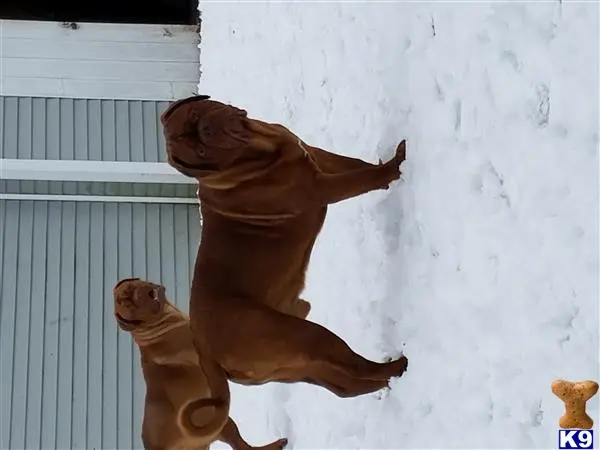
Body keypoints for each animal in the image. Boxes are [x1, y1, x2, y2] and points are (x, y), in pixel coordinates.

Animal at [159, 95, 408, 398]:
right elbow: (362, 179)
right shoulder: (320, 187)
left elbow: (355, 164)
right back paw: (397, 365)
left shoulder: (318, 156)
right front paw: (396, 165)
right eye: (200, 150)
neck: (257, 147)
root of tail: (204, 352)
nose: (205, 130)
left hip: (301, 368)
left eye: (195, 115)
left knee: (345, 385)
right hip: (301, 337)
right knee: (352, 365)